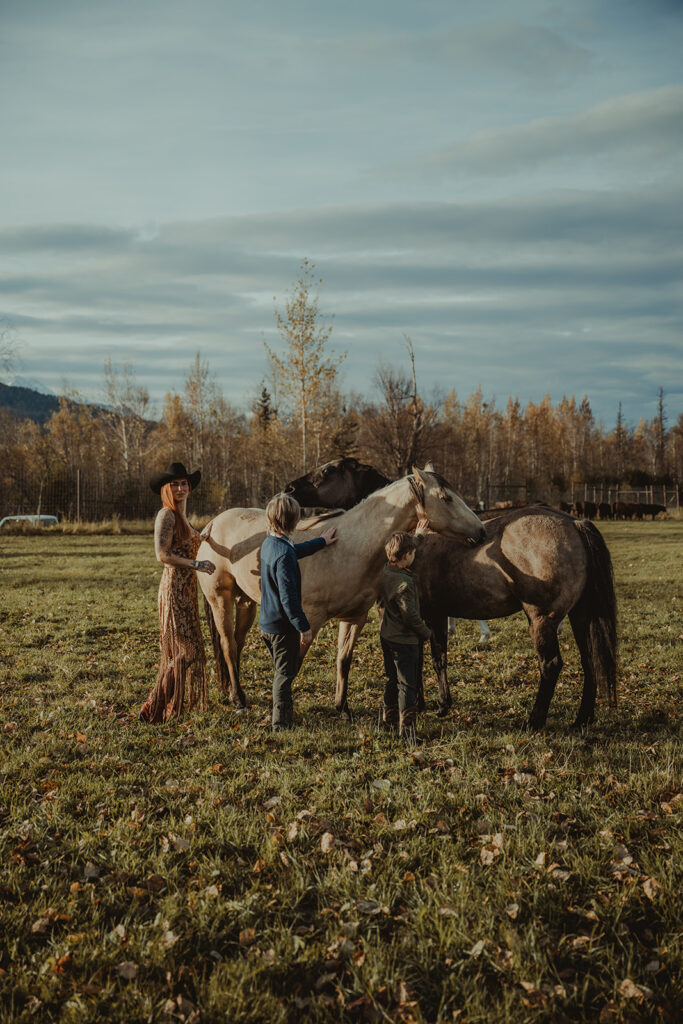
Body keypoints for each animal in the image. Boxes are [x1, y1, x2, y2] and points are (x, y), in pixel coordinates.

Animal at [417, 503, 618, 729]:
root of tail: (575, 523)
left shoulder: (433, 615)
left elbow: (436, 659)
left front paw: (441, 705)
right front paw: (423, 704)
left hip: (541, 620)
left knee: (550, 664)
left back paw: (534, 721)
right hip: (580, 617)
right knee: (589, 660)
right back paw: (582, 718)